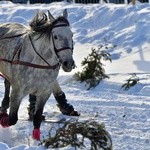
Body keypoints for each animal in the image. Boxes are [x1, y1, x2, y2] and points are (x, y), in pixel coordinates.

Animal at [0, 9, 74, 141]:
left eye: (71, 35)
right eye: (55, 36)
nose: (68, 63)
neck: (38, 62)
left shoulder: (44, 92)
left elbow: (37, 117)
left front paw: (36, 139)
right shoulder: (18, 91)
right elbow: (12, 119)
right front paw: (3, 120)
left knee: (7, 83)